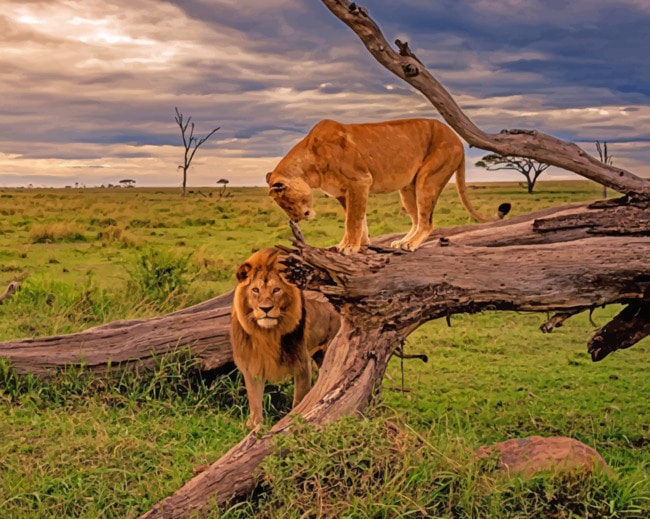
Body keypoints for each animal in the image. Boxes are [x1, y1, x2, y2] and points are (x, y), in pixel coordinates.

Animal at [230, 247, 340, 429]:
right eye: (255, 290)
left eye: (276, 290)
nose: (266, 308)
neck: (268, 334)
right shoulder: (252, 365)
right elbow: (254, 400)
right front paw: (254, 426)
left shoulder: (302, 363)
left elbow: (299, 399)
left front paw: (293, 419)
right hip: (319, 355)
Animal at [266, 118, 510, 253]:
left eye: (286, 202)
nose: (298, 218)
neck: (309, 166)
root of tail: (457, 138)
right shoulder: (344, 193)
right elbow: (357, 219)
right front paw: (358, 244)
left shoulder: (359, 181)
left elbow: (353, 219)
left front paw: (349, 247)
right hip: (408, 188)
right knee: (417, 219)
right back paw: (402, 241)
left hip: (428, 178)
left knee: (427, 222)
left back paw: (411, 245)